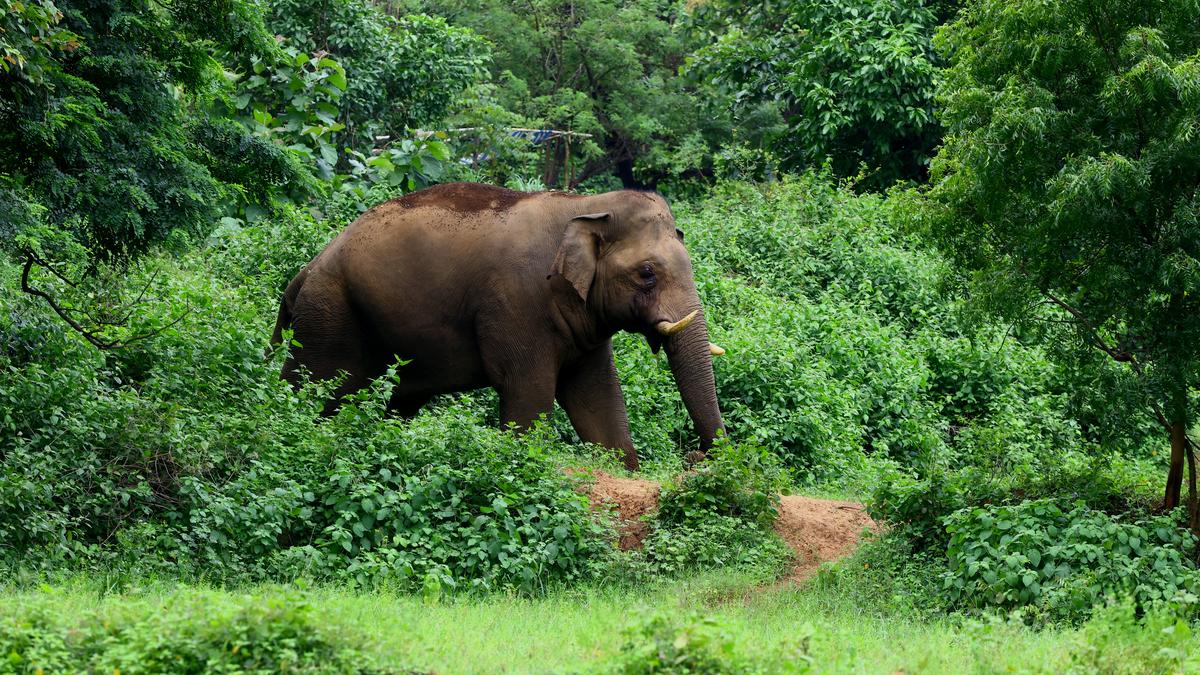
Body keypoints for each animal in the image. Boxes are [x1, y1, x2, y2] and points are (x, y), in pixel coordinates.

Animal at [270, 182, 724, 470]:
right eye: (647, 273)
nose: (695, 457)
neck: (586, 204)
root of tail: (305, 271)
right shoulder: (517, 303)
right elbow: (529, 391)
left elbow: (598, 396)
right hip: (329, 315)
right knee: (316, 389)